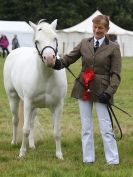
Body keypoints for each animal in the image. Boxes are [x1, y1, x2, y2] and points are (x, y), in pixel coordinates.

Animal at [3, 19, 67, 159]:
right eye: (37, 41)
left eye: (55, 38)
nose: (49, 58)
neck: (45, 76)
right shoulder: (27, 103)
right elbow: (25, 129)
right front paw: (22, 153)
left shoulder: (57, 106)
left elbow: (57, 131)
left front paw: (59, 155)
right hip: (13, 98)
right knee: (16, 120)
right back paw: (14, 142)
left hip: (35, 107)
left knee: (31, 123)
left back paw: (31, 145)